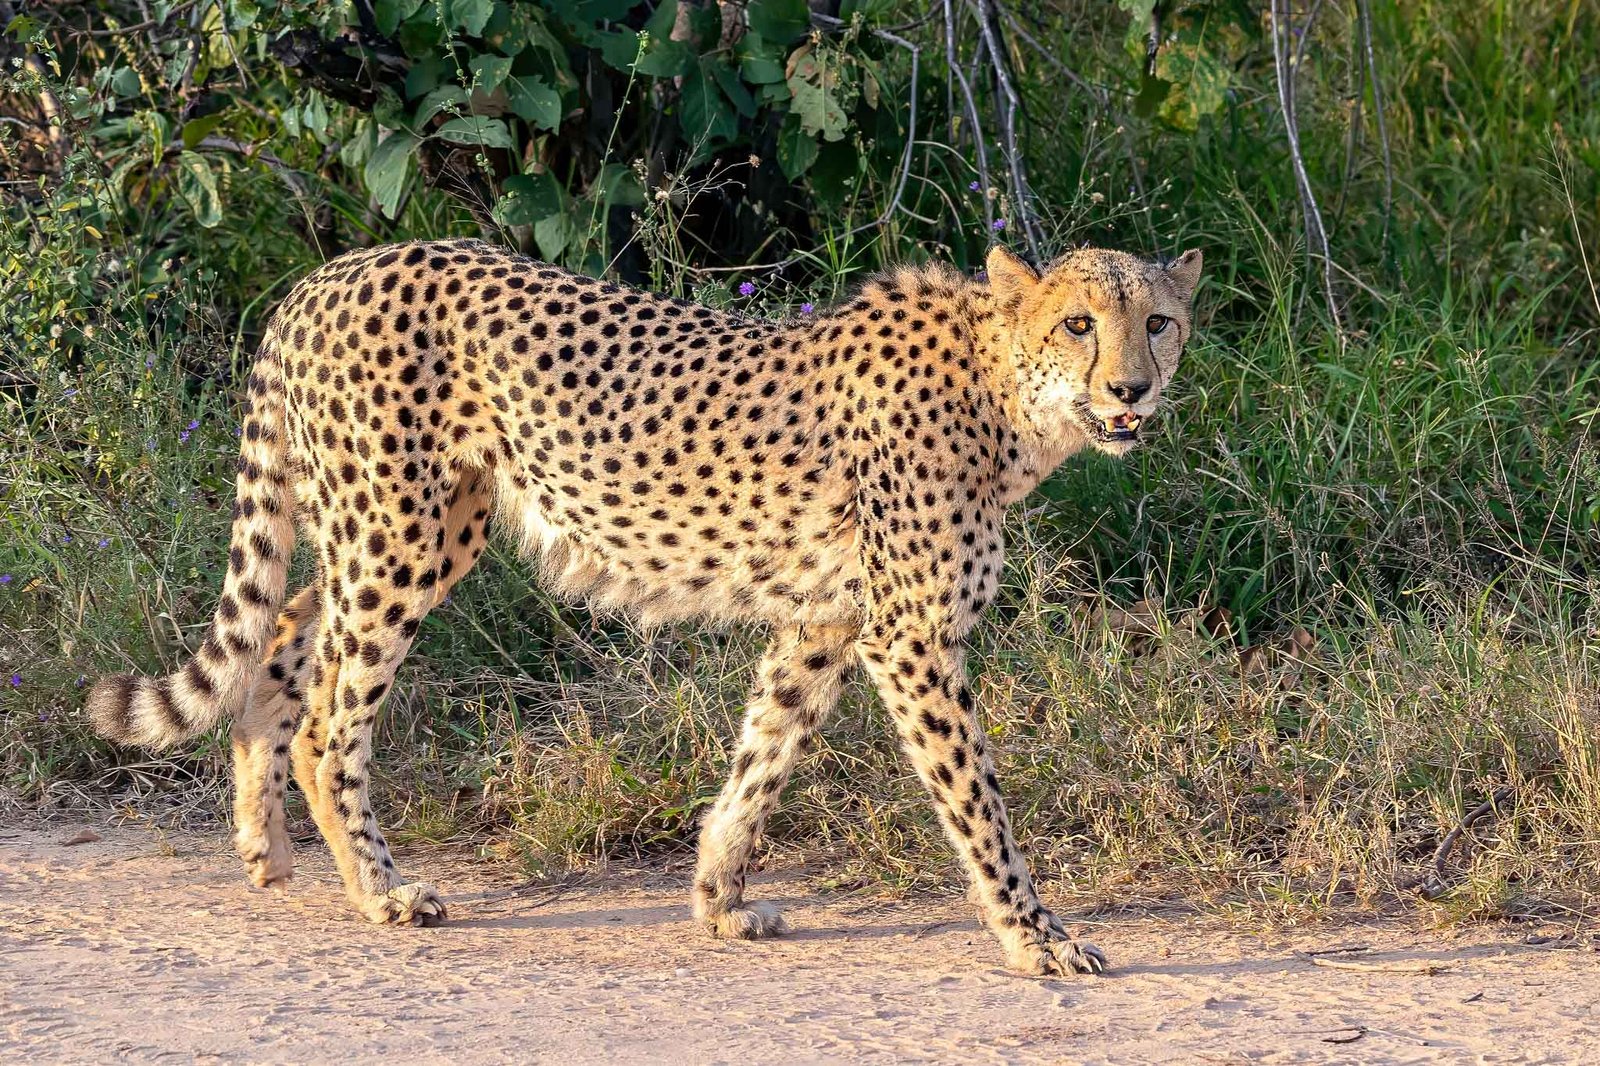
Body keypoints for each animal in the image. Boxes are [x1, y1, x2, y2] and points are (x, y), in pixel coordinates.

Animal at [86, 237, 1201, 976]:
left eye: (1157, 322)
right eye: (1077, 323)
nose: (1134, 390)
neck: (1006, 398)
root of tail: (330, 273)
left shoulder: (823, 624)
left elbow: (762, 759)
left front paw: (716, 901)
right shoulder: (909, 637)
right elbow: (977, 802)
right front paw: (1036, 936)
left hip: (414, 530)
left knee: (279, 634)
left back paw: (261, 844)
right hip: (396, 534)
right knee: (328, 717)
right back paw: (379, 890)